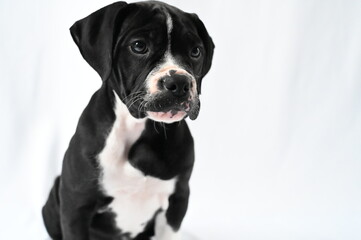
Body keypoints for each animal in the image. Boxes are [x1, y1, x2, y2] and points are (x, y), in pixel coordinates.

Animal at [44, 0, 215, 239]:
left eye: (196, 51)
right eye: (139, 46)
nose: (180, 83)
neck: (136, 128)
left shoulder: (176, 202)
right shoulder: (76, 204)